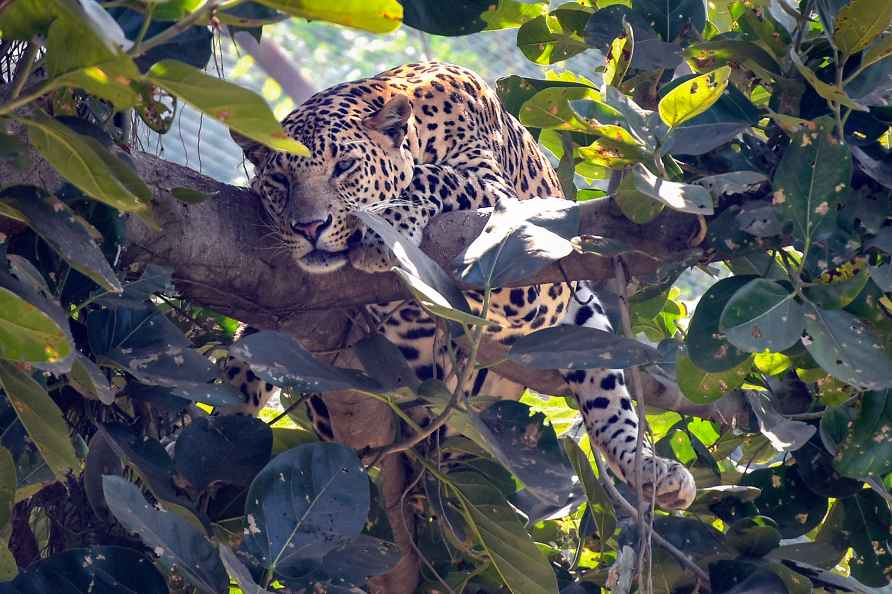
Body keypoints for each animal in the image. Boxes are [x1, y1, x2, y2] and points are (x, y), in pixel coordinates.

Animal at [223, 63, 696, 508]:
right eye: (279, 181)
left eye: (344, 167)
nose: (309, 227)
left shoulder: (518, 254)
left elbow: (439, 176)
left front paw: (385, 223)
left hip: (577, 312)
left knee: (610, 403)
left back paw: (653, 470)